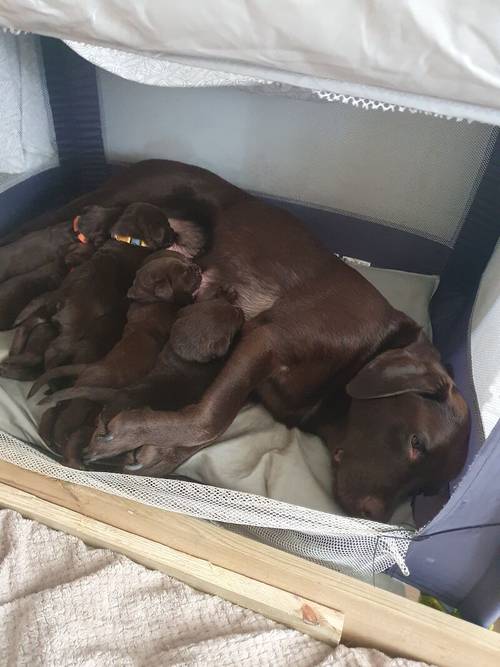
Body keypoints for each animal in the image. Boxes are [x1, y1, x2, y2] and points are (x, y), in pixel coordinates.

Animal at [15, 160, 468, 520]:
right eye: (415, 443)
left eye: (427, 490)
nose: (371, 516)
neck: (364, 358)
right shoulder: (267, 339)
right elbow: (209, 419)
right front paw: (127, 432)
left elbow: (206, 426)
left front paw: (151, 450)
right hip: (114, 197)